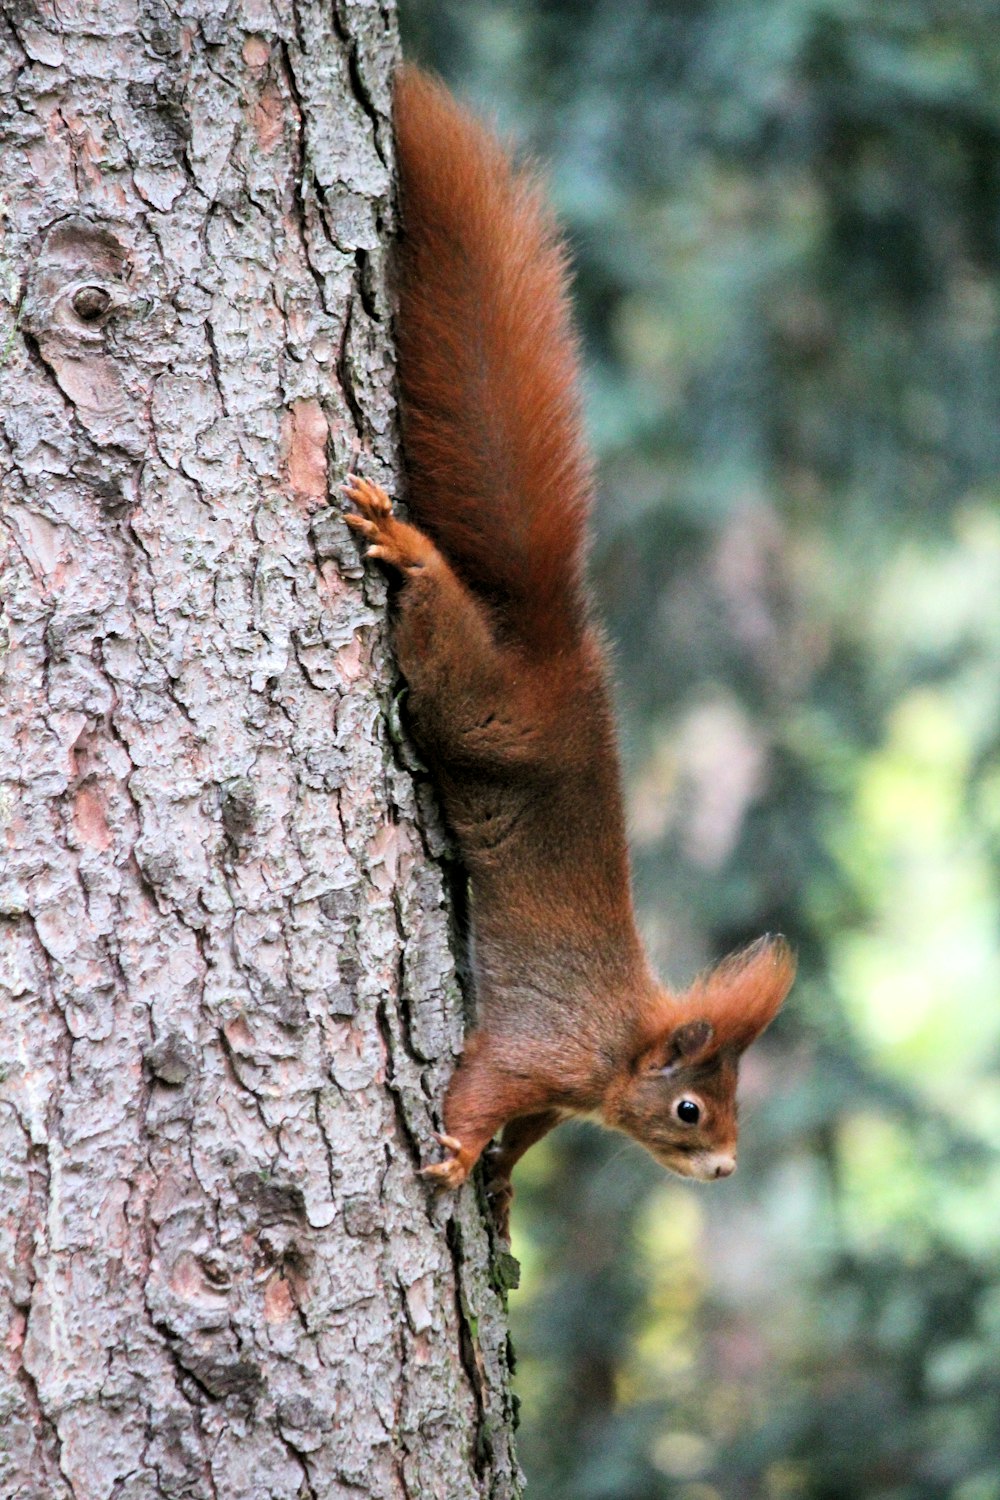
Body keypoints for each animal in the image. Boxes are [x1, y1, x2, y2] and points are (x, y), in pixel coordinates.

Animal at [344, 64, 797, 1224]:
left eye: (735, 1111)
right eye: (692, 1109)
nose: (726, 1169)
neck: (618, 1047)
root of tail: (555, 657)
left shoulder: (560, 1093)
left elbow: (532, 1130)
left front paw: (501, 1175)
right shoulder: (539, 1045)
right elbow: (483, 1085)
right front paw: (458, 1152)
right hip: (470, 702)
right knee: (442, 632)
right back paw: (409, 549)